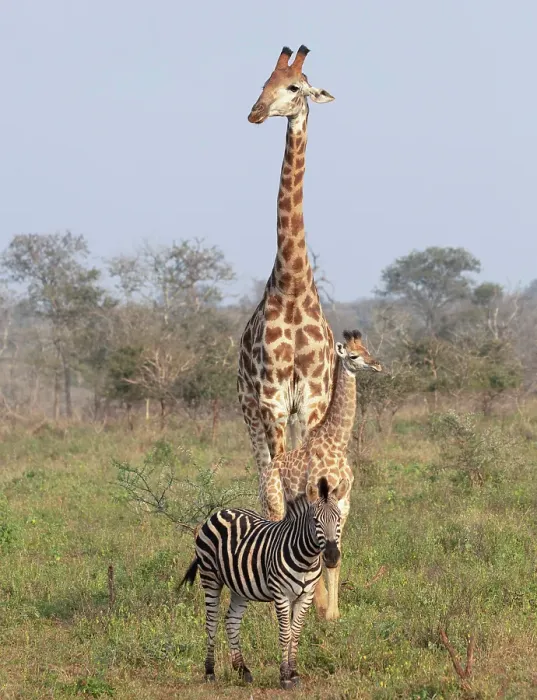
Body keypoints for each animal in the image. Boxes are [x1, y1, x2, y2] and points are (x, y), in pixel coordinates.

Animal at [180, 475, 349, 690]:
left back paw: (243, 670)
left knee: (232, 621)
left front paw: (294, 673)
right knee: (211, 622)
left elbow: (296, 633)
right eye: (315, 520)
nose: (332, 557)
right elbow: (286, 634)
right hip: (210, 577)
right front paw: (285, 676)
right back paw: (210, 672)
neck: (307, 559)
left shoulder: (305, 596)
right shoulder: (281, 595)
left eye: (339, 519)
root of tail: (221, 512)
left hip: (240, 586)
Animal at [260, 330, 382, 620]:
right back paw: (270, 611)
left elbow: (336, 556)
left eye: (367, 349)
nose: (377, 365)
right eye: (354, 356)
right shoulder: (320, 497)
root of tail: (265, 472)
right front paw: (325, 611)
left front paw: (333, 614)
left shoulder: (344, 503)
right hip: (273, 503)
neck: (337, 442)